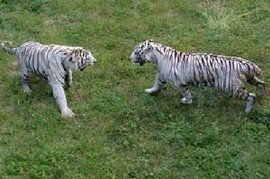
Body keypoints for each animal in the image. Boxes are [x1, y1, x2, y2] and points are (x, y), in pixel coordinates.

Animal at [130, 39, 264, 113]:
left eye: (136, 52)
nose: (129, 58)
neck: (157, 59)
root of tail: (247, 64)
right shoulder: (161, 76)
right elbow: (156, 84)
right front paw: (150, 91)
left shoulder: (179, 84)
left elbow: (187, 94)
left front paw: (186, 102)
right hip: (251, 78)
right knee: (261, 84)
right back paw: (262, 96)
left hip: (233, 88)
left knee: (251, 96)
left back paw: (248, 111)